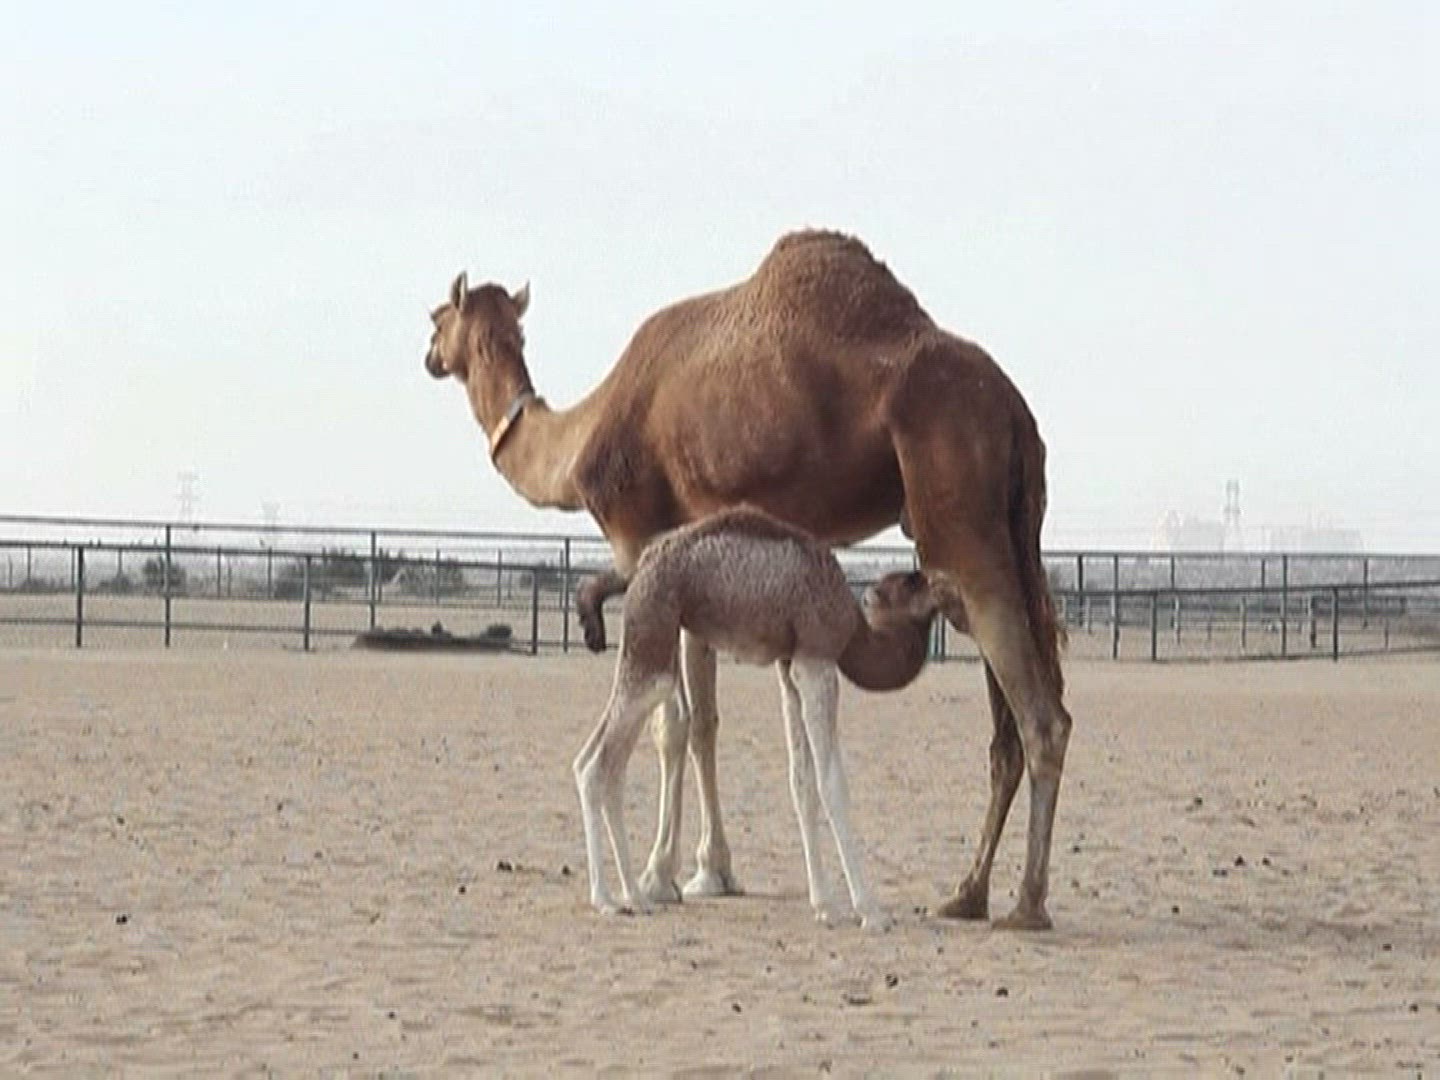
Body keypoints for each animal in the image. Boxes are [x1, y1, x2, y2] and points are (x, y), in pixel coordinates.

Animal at [573, 506, 941, 928]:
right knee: (598, 762)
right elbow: (832, 783)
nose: (942, 584)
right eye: (912, 581)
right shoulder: (817, 656)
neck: (854, 629)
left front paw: (824, 905)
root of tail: (640, 566)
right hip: (654, 629)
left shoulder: (791, 665)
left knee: (602, 763)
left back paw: (634, 897)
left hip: (650, 635)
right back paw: (606, 899)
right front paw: (871, 911)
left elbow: (802, 783)